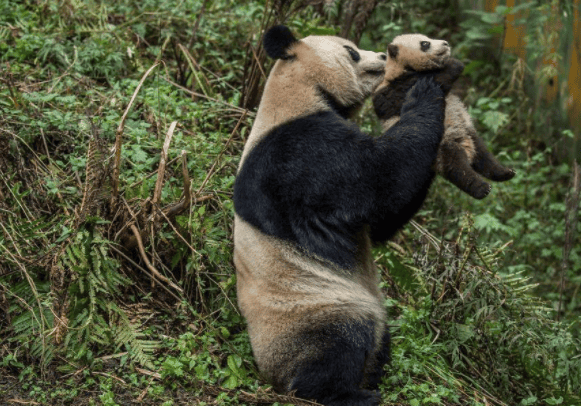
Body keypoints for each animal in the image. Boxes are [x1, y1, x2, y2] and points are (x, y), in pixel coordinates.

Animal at [233, 26, 446, 406]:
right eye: (352, 51)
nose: (382, 56)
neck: (298, 89)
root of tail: (270, 376)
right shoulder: (300, 151)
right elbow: (379, 183)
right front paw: (424, 90)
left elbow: (379, 223)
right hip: (311, 306)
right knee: (338, 343)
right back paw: (347, 394)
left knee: (377, 339)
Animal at [372, 35, 512, 200]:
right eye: (425, 43)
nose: (445, 43)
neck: (400, 67)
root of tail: (467, 150)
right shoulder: (399, 87)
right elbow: (440, 76)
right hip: (441, 145)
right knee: (455, 165)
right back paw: (481, 188)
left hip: (468, 131)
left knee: (484, 155)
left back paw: (504, 172)